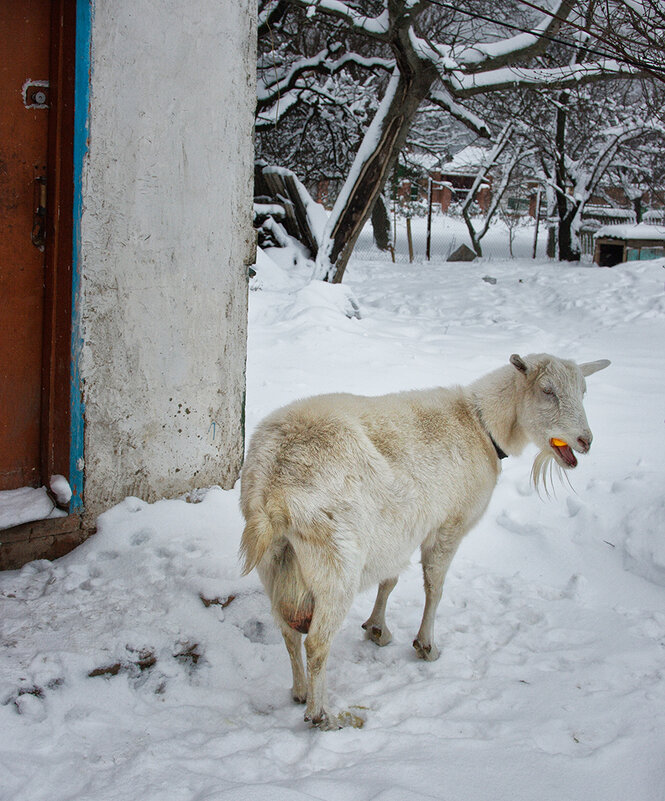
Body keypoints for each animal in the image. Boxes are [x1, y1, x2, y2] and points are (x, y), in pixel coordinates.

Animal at [241, 354, 608, 728]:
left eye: (584, 390)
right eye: (547, 391)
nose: (585, 441)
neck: (481, 425)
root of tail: (272, 492)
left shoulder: (399, 532)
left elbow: (389, 581)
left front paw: (377, 628)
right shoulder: (449, 524)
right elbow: (435, 586)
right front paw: (426, 645)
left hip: (275, 563)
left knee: (287, 631)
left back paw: (299, 692)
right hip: (335, 563)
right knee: (316, 643)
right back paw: (320, 715)